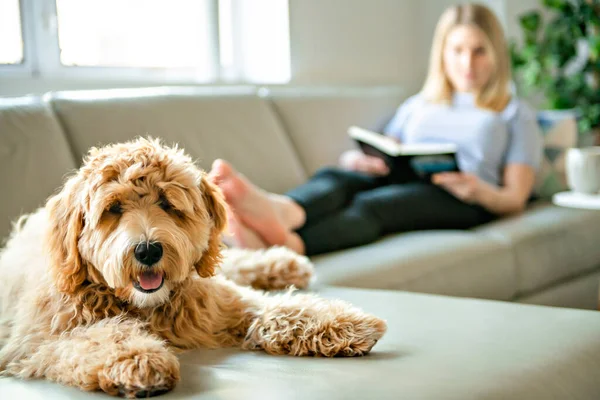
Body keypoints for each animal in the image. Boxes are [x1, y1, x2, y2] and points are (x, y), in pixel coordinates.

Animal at [0, 138, 386, 396]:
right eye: (114, 208)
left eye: (166, 203)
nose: (147, 250)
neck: (147, 307)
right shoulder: (37, 341)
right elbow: (99, 336)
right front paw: (138, 358)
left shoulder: (217, 304)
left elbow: (274, 308)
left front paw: (343, 323)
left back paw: (284, 264)